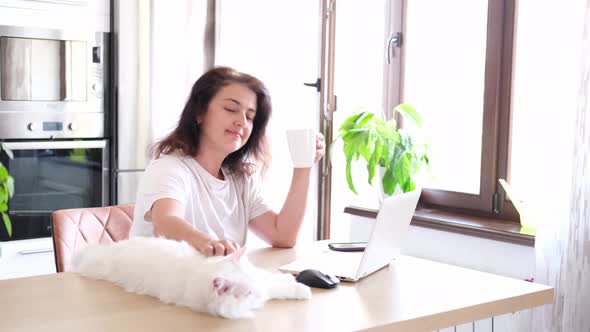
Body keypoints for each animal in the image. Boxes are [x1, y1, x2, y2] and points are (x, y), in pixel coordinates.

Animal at [73, 236, 314, 320]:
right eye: (247, 294)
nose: (258, 295)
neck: (198, 272)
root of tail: (110, 250)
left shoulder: (263, 280)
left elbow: (278, 284)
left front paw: (300, 288)